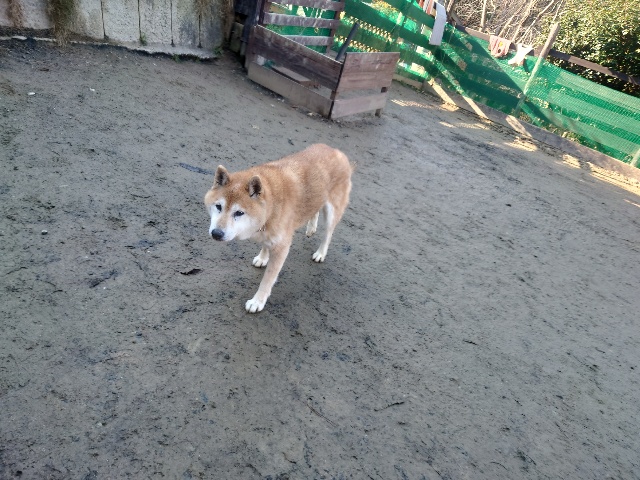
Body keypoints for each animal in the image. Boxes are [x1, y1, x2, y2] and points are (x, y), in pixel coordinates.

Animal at [204, 144, 353, 313]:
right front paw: (263, 257)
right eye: (218, 206)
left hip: (332, 212)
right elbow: (265, 245)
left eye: (239, 213)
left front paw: (257, 301)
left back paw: (321, 253)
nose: (216, 233)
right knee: (314, 210)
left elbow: (267, 279)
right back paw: (311, 228)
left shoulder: (282, 247)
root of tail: (336, 150)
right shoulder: (267, 232)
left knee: (328, 234)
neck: (272, 204)